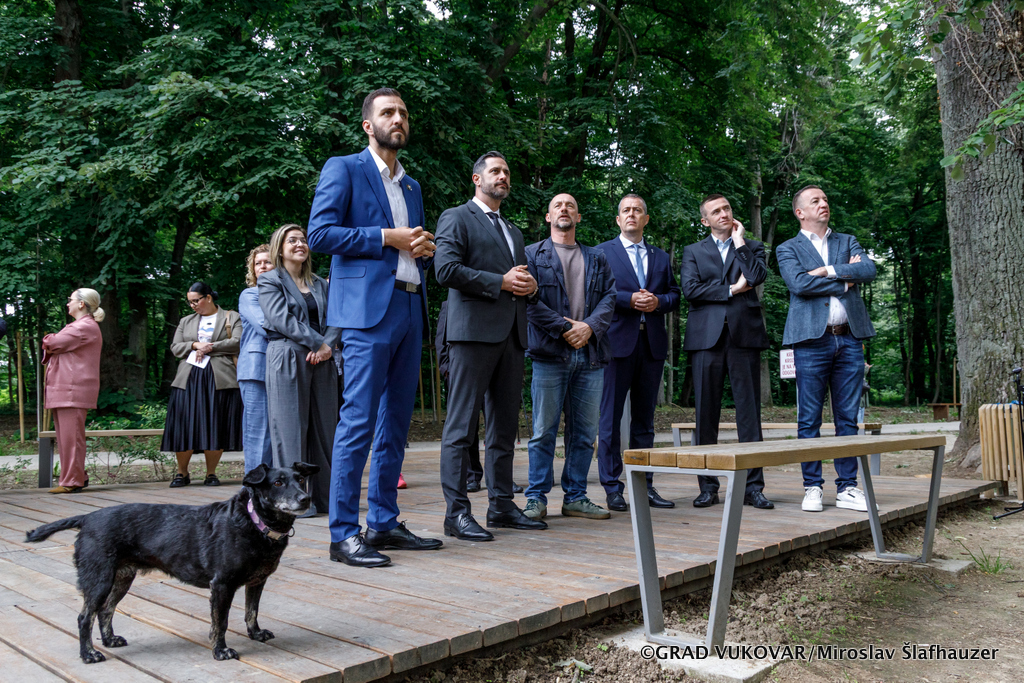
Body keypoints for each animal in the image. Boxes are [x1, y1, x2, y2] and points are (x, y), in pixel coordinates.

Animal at [25, 462, 318, 663]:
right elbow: (220, 623)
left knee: (106, 610)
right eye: (277, 483)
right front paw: (220, 651)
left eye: (301, 479)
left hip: (121, 578)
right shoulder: (222, 585)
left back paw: (109, 640)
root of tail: (87, 518)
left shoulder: (257, 582)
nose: (306, 498)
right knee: (84, 617)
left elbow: (251, 611)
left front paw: (255, 634)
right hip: (98, 580)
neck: (255, 523)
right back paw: (88, 655)